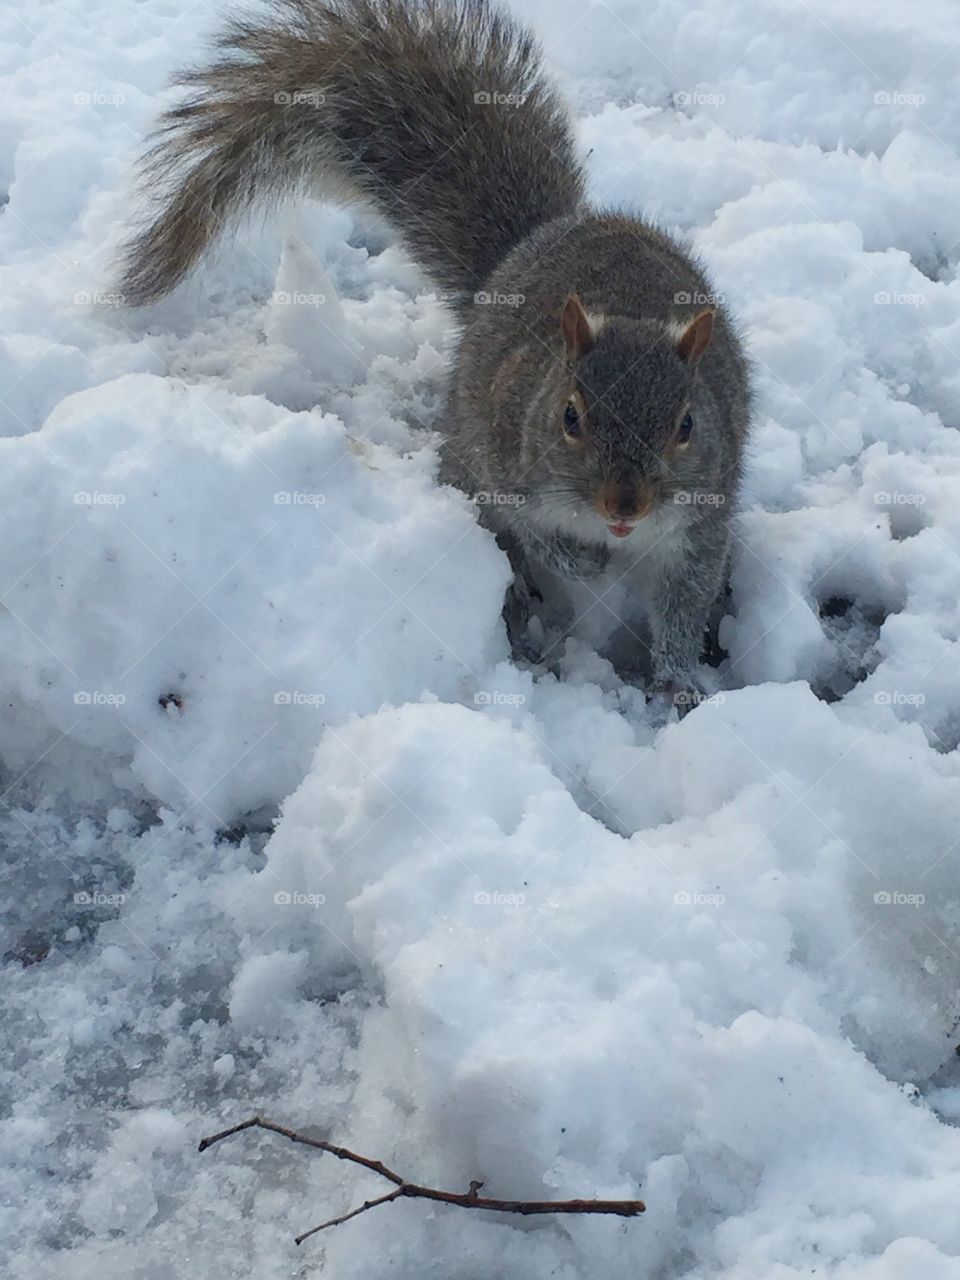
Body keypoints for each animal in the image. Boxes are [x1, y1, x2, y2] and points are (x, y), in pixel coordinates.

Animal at [116, 0, 757, 711]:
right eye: (569, 416)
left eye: (687, 425)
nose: (625, 506)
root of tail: (533, 242)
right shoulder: (509, 467)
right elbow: (540, 534)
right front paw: (582, 563)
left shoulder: (699, 526)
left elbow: (684, 605)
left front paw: (680, 683)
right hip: (468, 449)